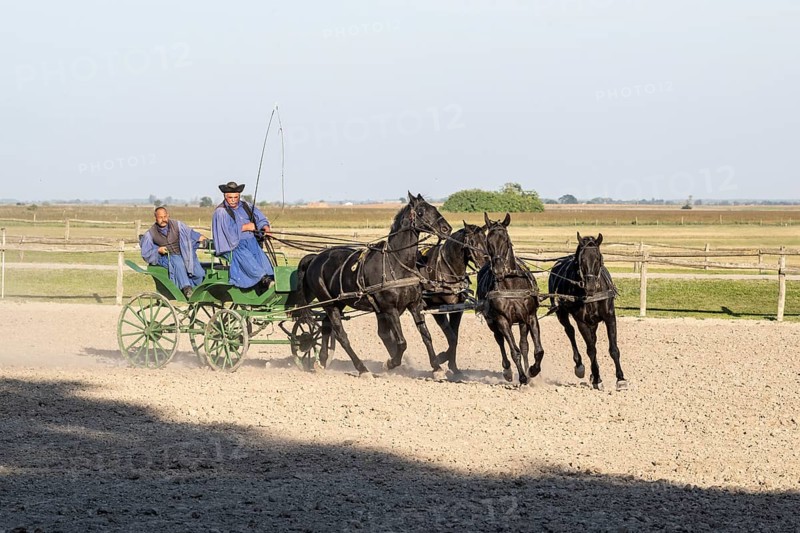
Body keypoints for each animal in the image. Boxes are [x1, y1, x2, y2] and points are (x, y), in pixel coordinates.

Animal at [297, 193, 452, 376]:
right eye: (421, 211)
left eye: (434, 208)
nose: (447, 229)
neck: (397, 263)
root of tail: (315, 258)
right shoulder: (390, 309)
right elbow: (401, 342)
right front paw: (390, 363)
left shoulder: (414, 305)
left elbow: (426, 336)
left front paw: (436, 367)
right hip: (329, 304)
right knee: (341, 335)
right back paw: (362, 369)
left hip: (338, 303)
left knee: (326, 327)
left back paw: (321, 361)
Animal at [417, 221, 488, 374]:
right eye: (471, 242)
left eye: (485, 240)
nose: (484, 262)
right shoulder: (436, 309)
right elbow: (451, 336)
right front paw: (441, 358)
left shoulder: (457, 309)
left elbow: (454, 336)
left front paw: (454, 367)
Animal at [476, 213, 545, 385]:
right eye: (488, 241)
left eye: (505, 239)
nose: (499, 269)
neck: (511, 284)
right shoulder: (502, 320)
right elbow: (514, 351)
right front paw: (522, 377)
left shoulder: (530, 317)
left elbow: (537, 350)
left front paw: (532, 371)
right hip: (491, 322)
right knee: (500, 340)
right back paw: (507, 371)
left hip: (521, 322)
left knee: (524, 345)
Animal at [547, 233, 627, 391]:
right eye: (581, 259)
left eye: (598, 258)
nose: (590, 286)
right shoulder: (582, 322)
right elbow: (591, 350)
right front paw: (597, 379)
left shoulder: (610, 318)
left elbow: (613, 349)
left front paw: (620, 379)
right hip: (562, 314)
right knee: (570, 331)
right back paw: (580, 366)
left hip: (593, 323)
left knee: (592, 338)